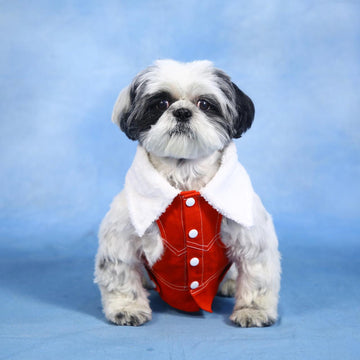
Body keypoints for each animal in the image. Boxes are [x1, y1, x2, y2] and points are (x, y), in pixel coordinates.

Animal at [95, 60, 282, 328]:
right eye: (161, 103)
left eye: (204, 104)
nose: (182, 112)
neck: (185, 183)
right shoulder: (120, 236)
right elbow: (119, 275)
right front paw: (127, 307)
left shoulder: (252, 236)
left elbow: (258, 277)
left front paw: (253, 310)